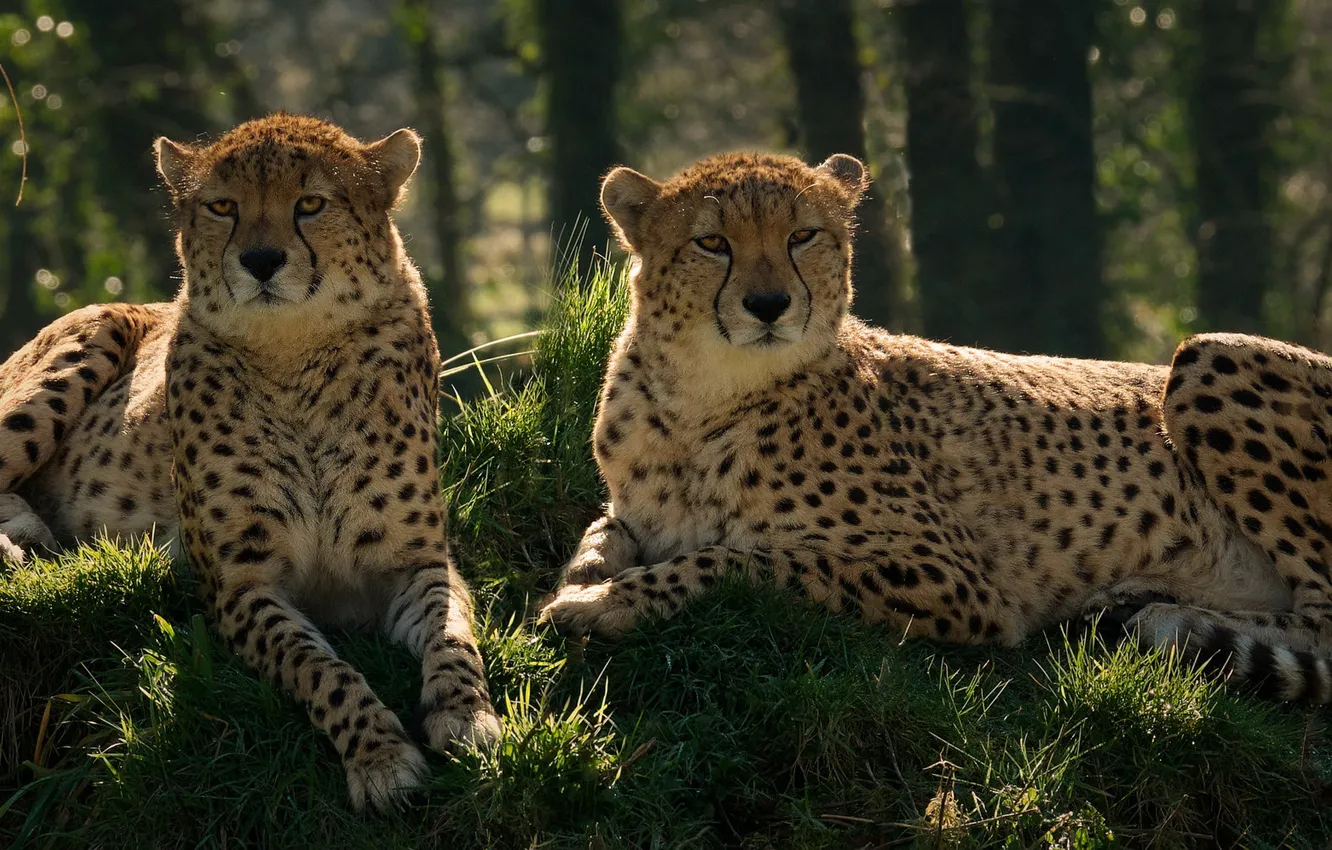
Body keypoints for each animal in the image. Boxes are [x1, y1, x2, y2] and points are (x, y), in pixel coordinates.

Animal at [0, 113, 501, 809]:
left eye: (311, 203)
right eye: (223, 207)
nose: (260, 260)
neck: (294, 354)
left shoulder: (416, 562)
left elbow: (453, 633)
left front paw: (465, 712)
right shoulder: (241, 584)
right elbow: (321, 668)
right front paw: (379, 754)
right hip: (87, 339)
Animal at [539, 149, 1332, 704]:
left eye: (803, 235)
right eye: (711, 244)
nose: (768, 305)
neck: (701, 399)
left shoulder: (957, 580)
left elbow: (740, 559)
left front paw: (608, 602)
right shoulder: (634, 510)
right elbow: (600, 536)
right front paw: (584, 580)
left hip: (1208, 357)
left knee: (1322, 623)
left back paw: (1174, 623)